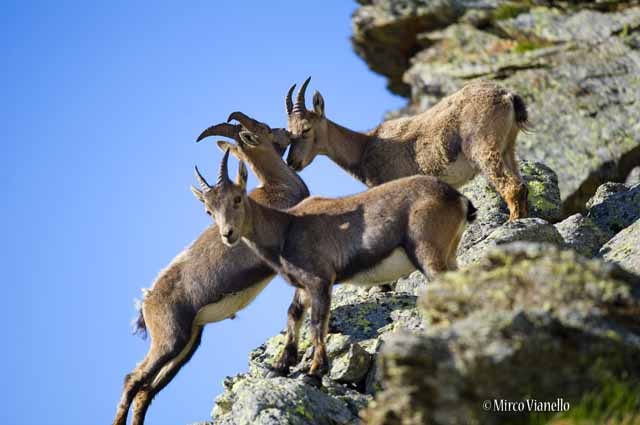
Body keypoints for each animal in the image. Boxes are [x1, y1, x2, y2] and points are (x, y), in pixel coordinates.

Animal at [113, 112, 308, 425]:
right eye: (264, 128)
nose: (286, 132)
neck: (277, 187)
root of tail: (146, 302)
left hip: (188, 343)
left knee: (146, 390)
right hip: (168, 340)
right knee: (133, 380)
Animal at [193, 150, 476, 380]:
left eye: (237, 198)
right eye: (208, 210)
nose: (227, 234)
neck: (285, 229)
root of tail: (457, 197)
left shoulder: (320, 280)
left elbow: (318, 322)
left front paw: (315, 372)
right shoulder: (303, 285)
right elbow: (293, 314)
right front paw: (281, 366)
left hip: (426, 251)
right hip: (449, 254)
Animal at [285, 77, 530, 221]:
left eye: (306, 129)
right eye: (288, 131)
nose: (292, 162)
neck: (363, 146)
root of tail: (507, 95)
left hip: (483, 146)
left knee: (511, 185)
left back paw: (513, 221)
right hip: (507, 147)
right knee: (522, 184)